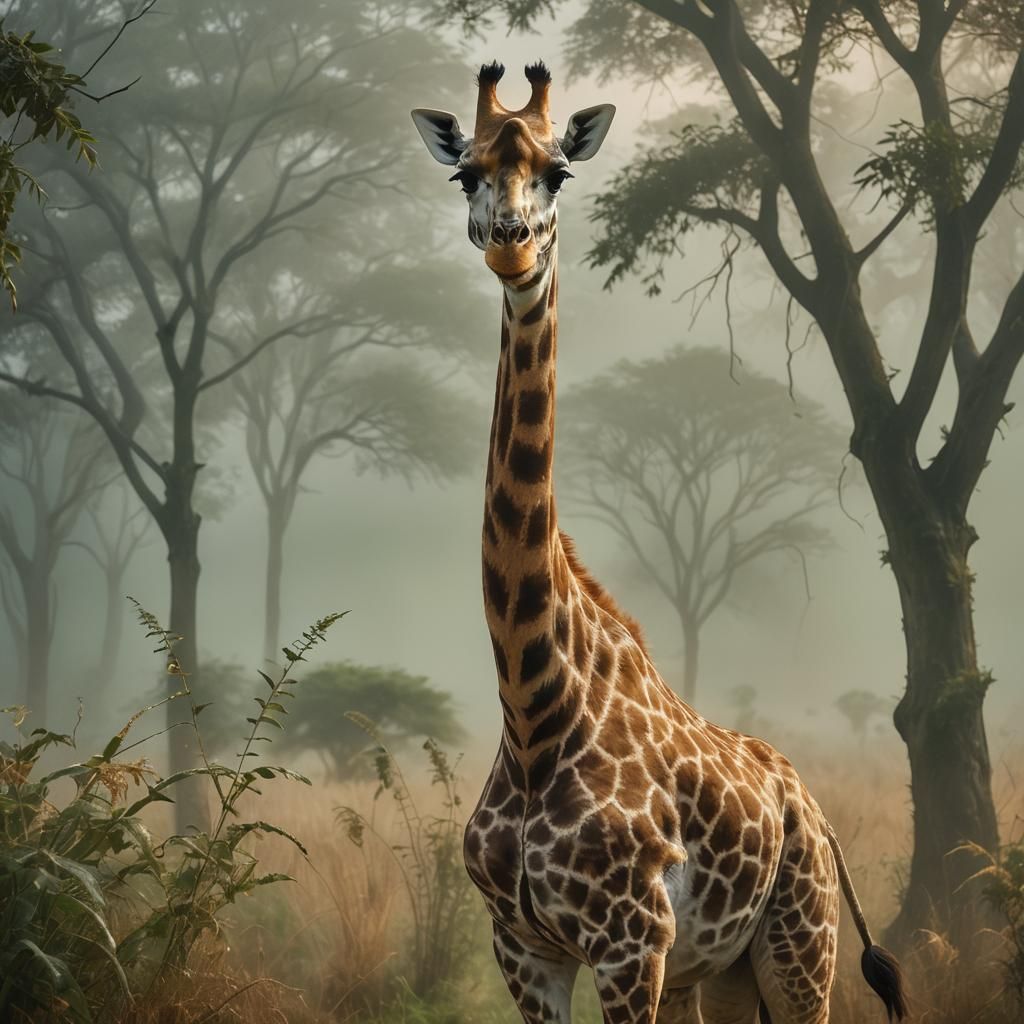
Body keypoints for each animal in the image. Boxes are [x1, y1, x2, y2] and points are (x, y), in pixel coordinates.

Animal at [411, 62, 908, 1024]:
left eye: (558, 171)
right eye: (466, 175)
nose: (512, 245)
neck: (534, 712)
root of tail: (813, 805)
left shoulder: (628, 938)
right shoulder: (523, 947)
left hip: (800, 943)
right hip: (714, 971)